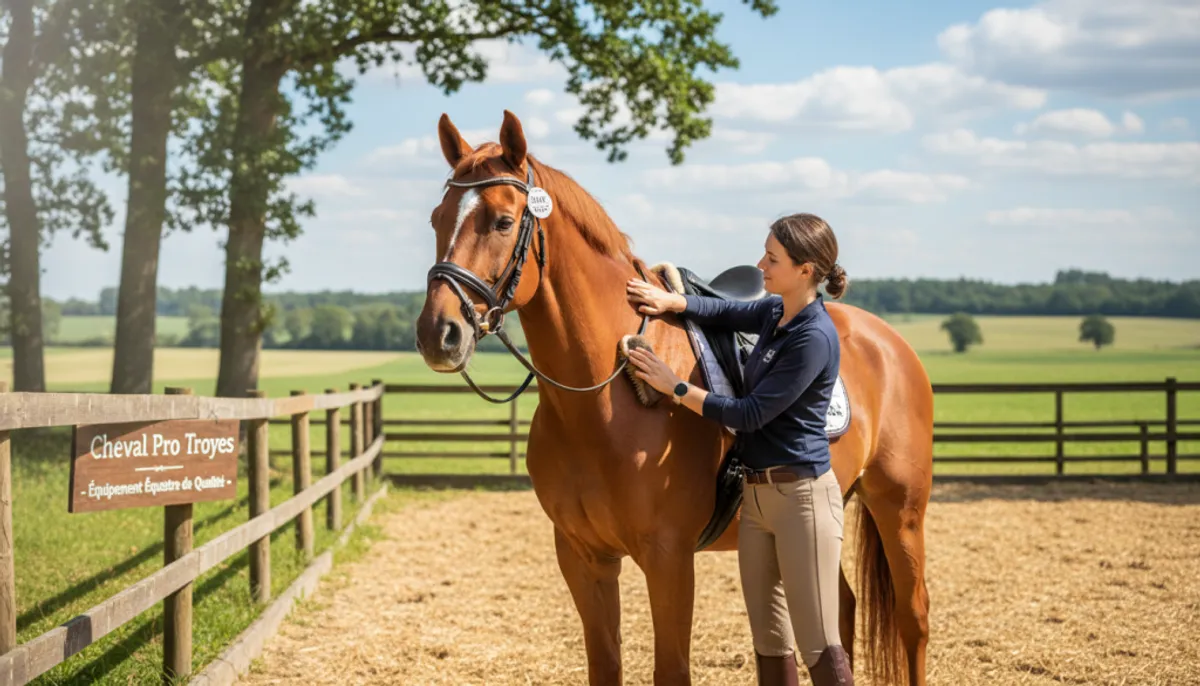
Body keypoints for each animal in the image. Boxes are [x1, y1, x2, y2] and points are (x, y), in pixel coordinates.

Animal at [414, 109, 934, 686]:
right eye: (437, 219)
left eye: (503, 222)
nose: (438, 334)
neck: (600, 404)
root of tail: (888, 342)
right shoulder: (582, 557)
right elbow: (605, 665)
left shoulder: (669, 559)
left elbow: (672, 669)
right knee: (837, 612)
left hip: (899, 509)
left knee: (912, 618)